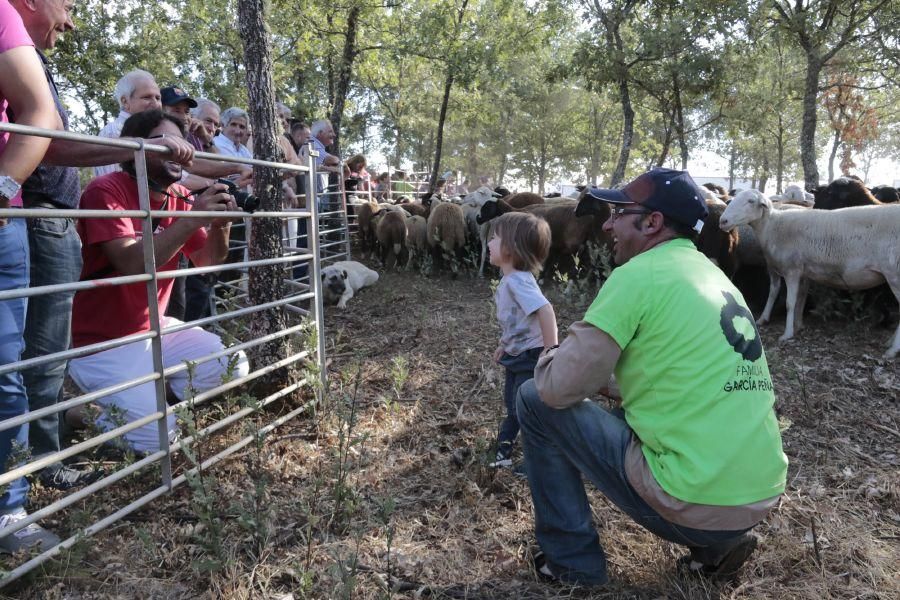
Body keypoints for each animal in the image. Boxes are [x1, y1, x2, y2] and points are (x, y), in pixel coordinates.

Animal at [720, 189, 900, 356]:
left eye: (751, 201)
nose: (723, 221)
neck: (772, 226)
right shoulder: (792, 271)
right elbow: (783, 295)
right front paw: (781, 322)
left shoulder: (792, 270)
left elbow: (790, 303)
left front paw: (787, 334)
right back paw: (890, 343)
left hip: (894, 275)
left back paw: (892, 351)